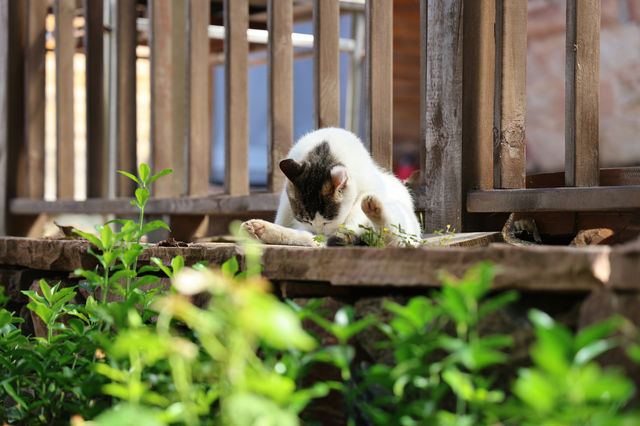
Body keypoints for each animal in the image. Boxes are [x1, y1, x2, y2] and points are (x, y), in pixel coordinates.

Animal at [240, 126, 420, 246]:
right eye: (306, 220)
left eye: (328, 220)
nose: (320, 231)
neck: (324, 151)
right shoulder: (287, 205)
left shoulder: (371, 187)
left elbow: (355, 214)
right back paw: (260, 230)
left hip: (401, 221)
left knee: (391, 237)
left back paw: (373, 208)